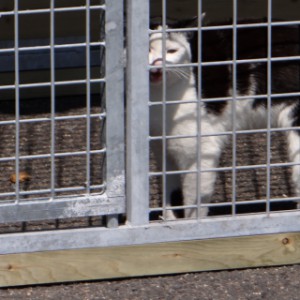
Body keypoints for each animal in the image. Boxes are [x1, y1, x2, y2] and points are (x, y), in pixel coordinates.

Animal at [149, 16, 300, 219]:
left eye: (171, 51)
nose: (157, 63)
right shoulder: (162, 149)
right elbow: (171, 194)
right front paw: (168, 220)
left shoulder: (200, 151)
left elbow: (193, 202)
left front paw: (190, 224)